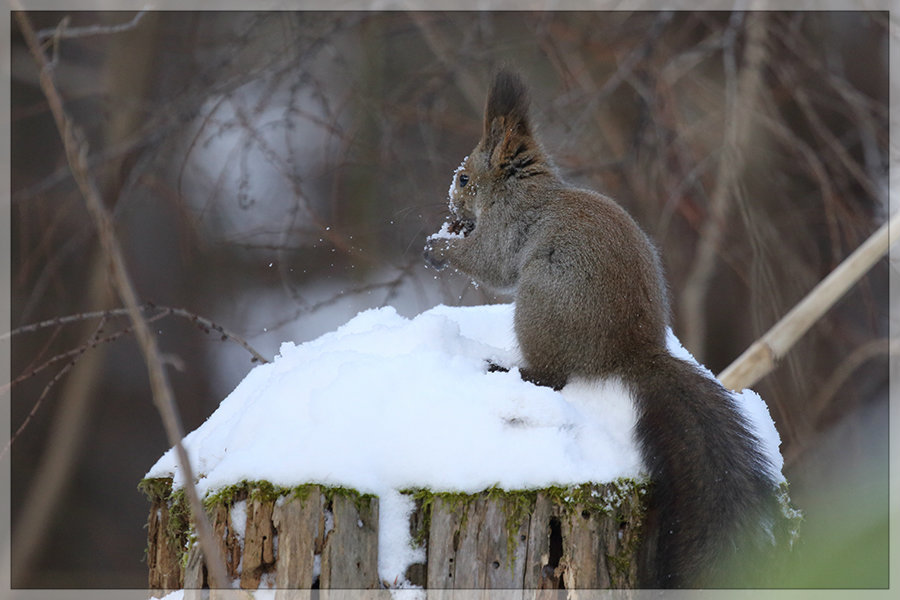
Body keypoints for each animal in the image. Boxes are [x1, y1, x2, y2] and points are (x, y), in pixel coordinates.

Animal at [422, 69, 780, 584]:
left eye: (464, 178)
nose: (451, 209)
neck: (519, 187)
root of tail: (631, 354)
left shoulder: (507, 230)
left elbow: (489, 263)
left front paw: (439, 249)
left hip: (541, 299)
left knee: (551, 376)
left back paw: (506, 369)